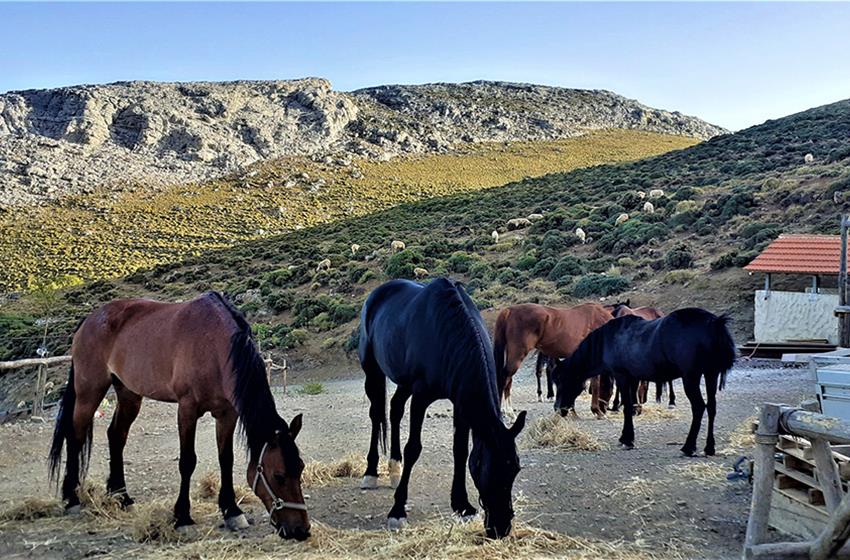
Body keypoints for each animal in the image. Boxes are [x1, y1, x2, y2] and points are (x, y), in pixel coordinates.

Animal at [48, 290, 312, 540]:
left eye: (300, 468)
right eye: (278, 476)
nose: (300, 530)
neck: (214, 346)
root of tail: (89, 320)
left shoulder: (227, 414)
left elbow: (226, 459)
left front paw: (232, 512)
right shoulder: (187, 409)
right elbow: (187, 462)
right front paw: (182, 517)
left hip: (128, 394)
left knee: (116, 435)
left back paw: (121, 496)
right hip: (89, 391)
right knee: (76, 436)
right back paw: (72, 500)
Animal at [356, 278, 524, 540]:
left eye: (515, 469)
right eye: (489, 469)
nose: (500, 527)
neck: (447, 334)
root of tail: (377, 293)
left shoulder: (460, 401)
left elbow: (460, 450)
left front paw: (462, 505)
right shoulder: (421, 397)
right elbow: (413, 448)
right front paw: (397, 511)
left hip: (403, 384)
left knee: (394, 409)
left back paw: (395, 469)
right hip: (372, 371)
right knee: (376, 415)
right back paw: (371, 473)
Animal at [552, 308, 732, 458]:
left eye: (562, 380)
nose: (558, 408)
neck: (609, 339)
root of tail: (713, 323)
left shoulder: (622, 376)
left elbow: (626, 407)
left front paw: (626, 440)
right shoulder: (633, 378)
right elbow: (631, 405)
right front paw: (627, 436)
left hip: (691, 378)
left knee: (699, 407)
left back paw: (688, 447)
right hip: (710, 375)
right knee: (711, 407)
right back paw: (709, 448)